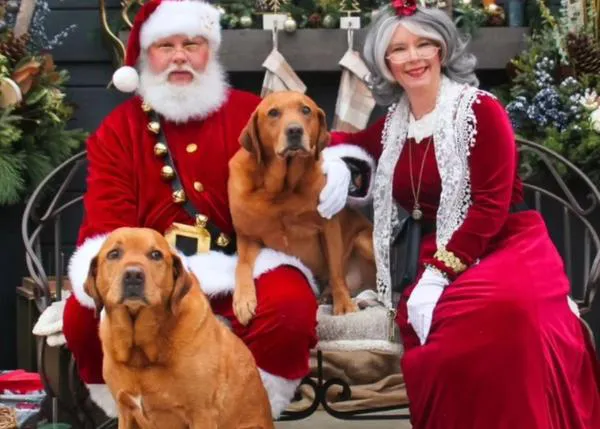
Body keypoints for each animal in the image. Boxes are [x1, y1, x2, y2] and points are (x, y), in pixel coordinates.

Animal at [83, 226, 274, 426]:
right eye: (114, 254)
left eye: (156, 255)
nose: (133, 275)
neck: (141, 355)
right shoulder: (125, 410)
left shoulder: (202, 414)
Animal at [229, 91, 376, 324]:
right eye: (273, 112)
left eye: (306, 110)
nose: (295, 130)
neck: (282, 189)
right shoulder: (247, 236)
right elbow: (242, 265)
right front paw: (243, 300)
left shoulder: (328, 228)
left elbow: (336, 269)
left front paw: (343, 304)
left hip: (363, 240)